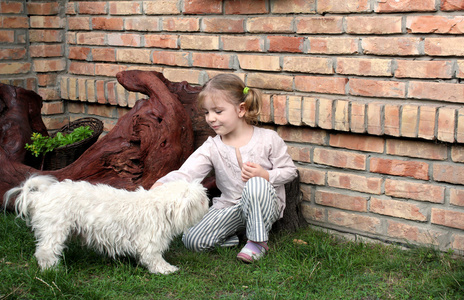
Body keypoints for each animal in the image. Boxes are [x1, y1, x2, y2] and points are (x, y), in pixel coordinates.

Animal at [3, 175, 208, 276]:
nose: (208, 201)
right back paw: (52, 270)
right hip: (54, 229)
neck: (158, 207)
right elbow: (154, 259)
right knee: (45, 252)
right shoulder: (149, 242)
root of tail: (39, 196)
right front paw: (166, 269)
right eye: (201, 199)